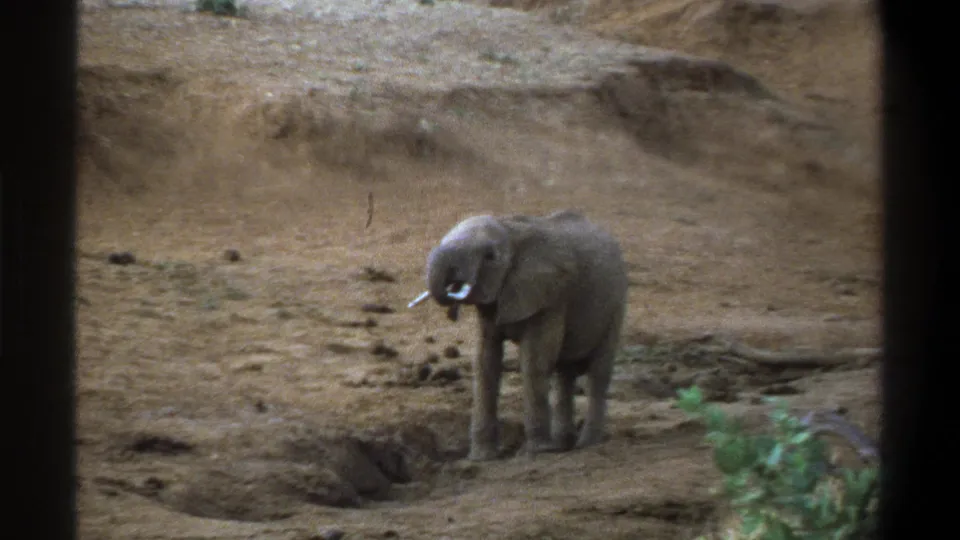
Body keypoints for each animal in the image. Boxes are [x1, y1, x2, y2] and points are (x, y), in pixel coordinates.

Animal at [411, 209, 629, 461]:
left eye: (490, 256)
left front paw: (537, 451)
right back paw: (563, 444)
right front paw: (482, 457)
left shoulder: (551, 295)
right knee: (565, 373)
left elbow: (534, 361)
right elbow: (486, 363)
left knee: (598, 373)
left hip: (616, 305)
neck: (510, 231)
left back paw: (586, 444)